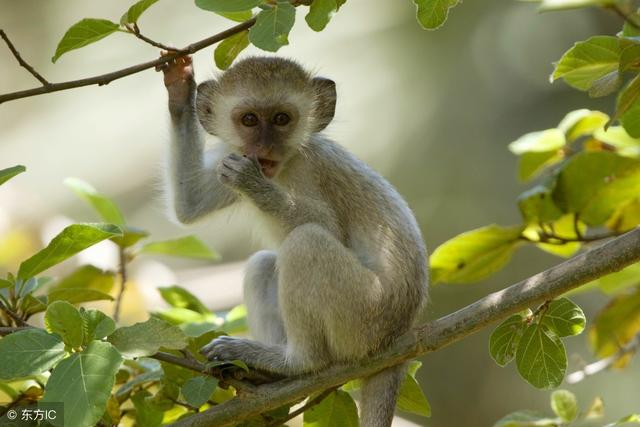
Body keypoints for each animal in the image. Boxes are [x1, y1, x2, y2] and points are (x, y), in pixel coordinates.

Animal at [160, 54, 430, 427]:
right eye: (249, 119)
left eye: (281, 119)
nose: (263, 148)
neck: (284, 165)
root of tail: (400, 334)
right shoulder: (231, 154)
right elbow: (190, 203)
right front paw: (178, 88)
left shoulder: (311, 168)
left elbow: (327, 226)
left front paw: (253, 184)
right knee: (263, 263)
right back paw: (264, 373)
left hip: (364, 318)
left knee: (306, 242)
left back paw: (296, 363)